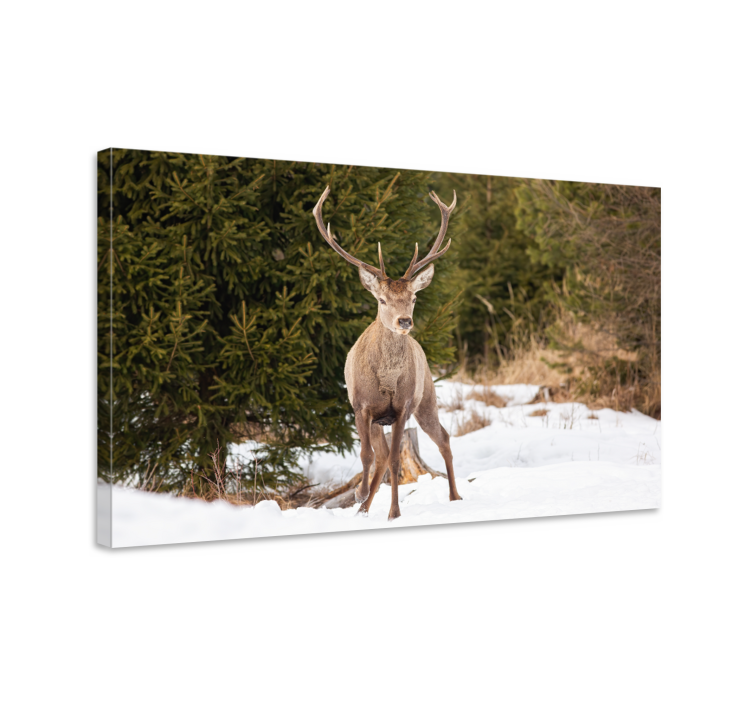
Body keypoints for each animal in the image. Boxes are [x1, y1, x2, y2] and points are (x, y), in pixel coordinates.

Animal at [313, 185, 462, 521]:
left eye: (414, 297)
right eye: (381, 300)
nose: (404, 321)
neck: (387, 381)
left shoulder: (402, 408)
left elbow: (395, 460)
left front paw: (394, 512)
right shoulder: (361, 407)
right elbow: (367, 456)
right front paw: (359, 495)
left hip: (427, 397)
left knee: (444, 438)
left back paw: (455, 495)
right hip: (382, 418)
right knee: (378, 456)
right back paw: (363, 505)